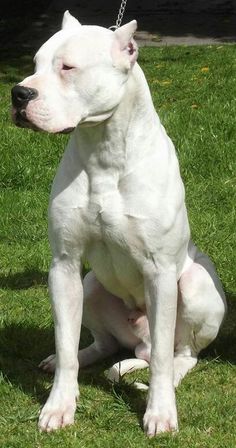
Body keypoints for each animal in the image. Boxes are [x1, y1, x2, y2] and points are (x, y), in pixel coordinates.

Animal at [12, 11, 226, 438]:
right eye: (35, 65)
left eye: (67, 67)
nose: (19, 93)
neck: (103, 150)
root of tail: (137, 343)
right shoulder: (64, 265)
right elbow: (64, 344)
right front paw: (59, 405)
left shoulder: (160, 272)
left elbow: (161, 361)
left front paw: (160, 412)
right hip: (91, 284)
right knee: (107, 344)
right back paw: (86, 356)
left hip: (194, 286)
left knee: (178, 353)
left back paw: (169, 373)